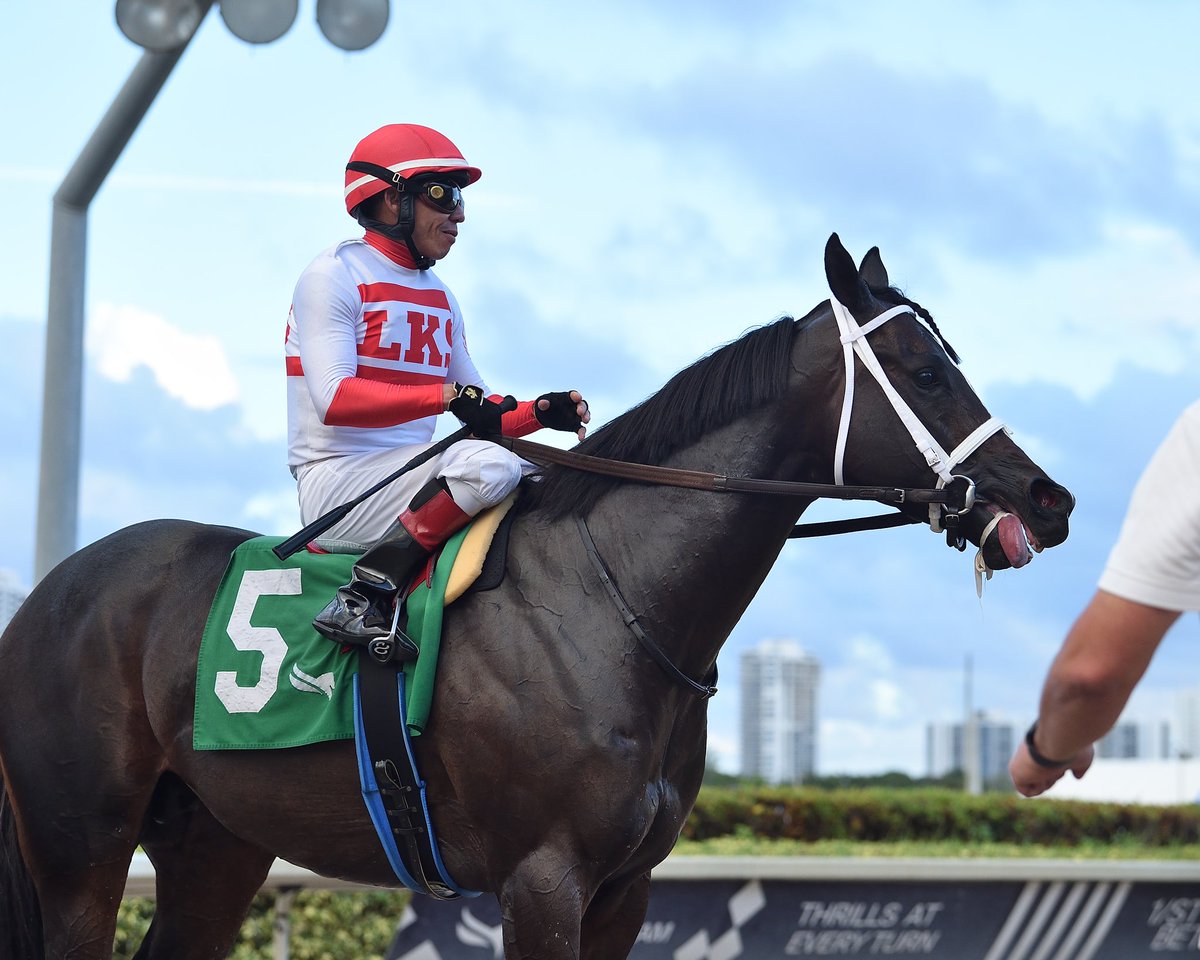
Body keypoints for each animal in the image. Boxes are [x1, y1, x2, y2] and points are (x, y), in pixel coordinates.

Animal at [0, 234, 1070, 960]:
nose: (1044, 501)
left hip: (215, 846)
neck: (615, 603)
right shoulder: (541, 880)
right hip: (81, 849)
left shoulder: (624, 891)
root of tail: (49, 594)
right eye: (926, 372)